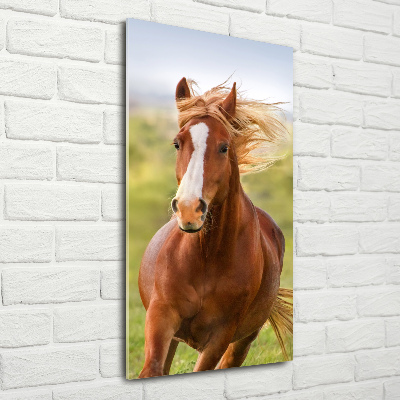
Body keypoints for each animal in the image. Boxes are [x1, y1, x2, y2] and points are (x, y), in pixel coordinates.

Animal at [139, 78, 292, 378]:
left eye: (223, 147)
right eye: (177, 143)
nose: (189, 210)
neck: (207, 257)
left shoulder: (220, 337)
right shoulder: (161, 318)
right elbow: (151, 369)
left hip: (243, 341)